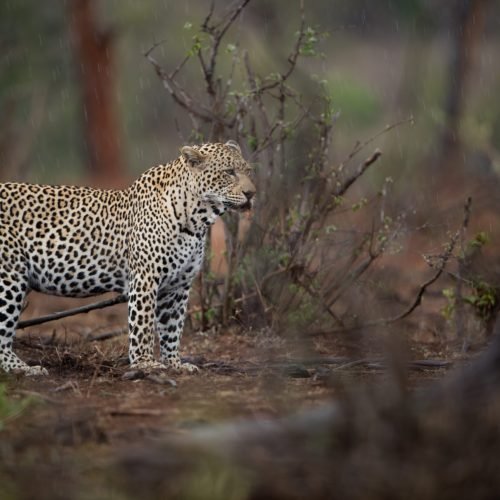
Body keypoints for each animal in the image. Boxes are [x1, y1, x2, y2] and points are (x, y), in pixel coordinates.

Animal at [0, 141, 254, 376]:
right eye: (229, 172)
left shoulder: (178, 286)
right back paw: (23, 368)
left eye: (248, 170)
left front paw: (175, 364)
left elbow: (172, 327)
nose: (251, 193)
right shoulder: (145, 278)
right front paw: (145, 363)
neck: (196, 219)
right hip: (9, 278)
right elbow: (143, 324)